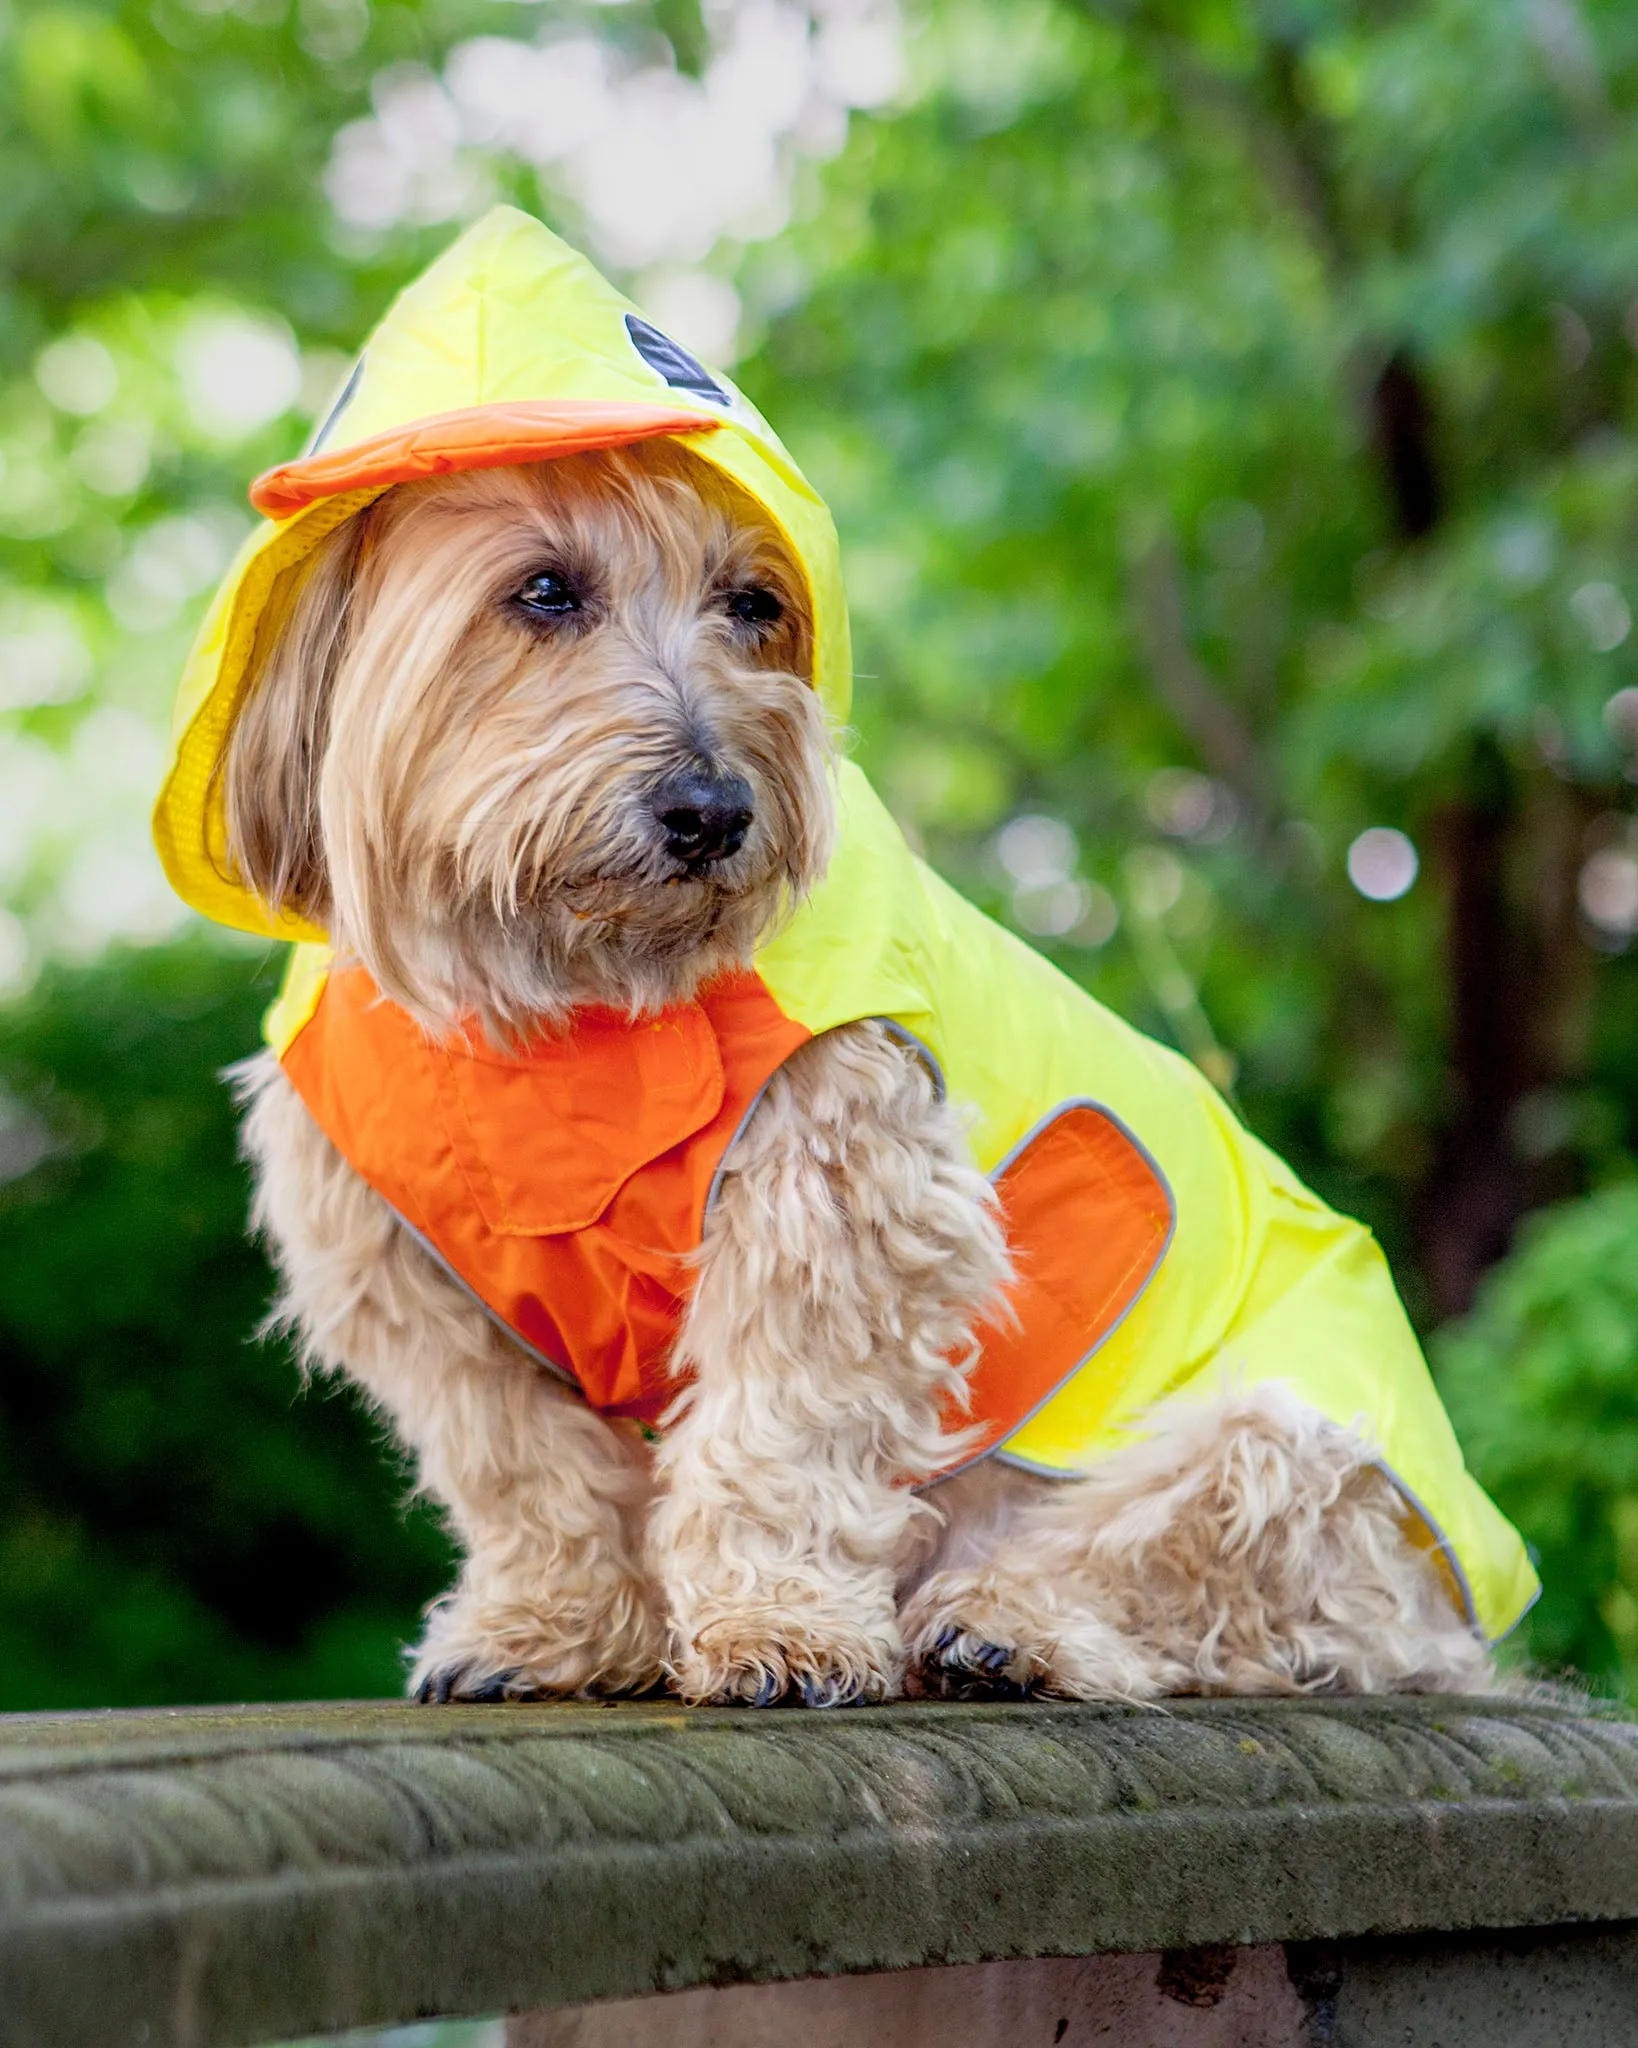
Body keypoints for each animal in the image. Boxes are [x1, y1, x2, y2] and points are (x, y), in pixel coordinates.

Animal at [213, 448, 1498, 1712]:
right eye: (542, 589)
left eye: (752, 603)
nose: (714, 810)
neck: (560, 1005)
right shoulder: (420, 1290)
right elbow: (527, 1471)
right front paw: (550, 1629)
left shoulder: (837, 1200)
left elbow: (777, 1432)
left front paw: (779, 1626)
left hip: (1294, 1444)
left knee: (1199, 1568)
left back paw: (1003, 1625)